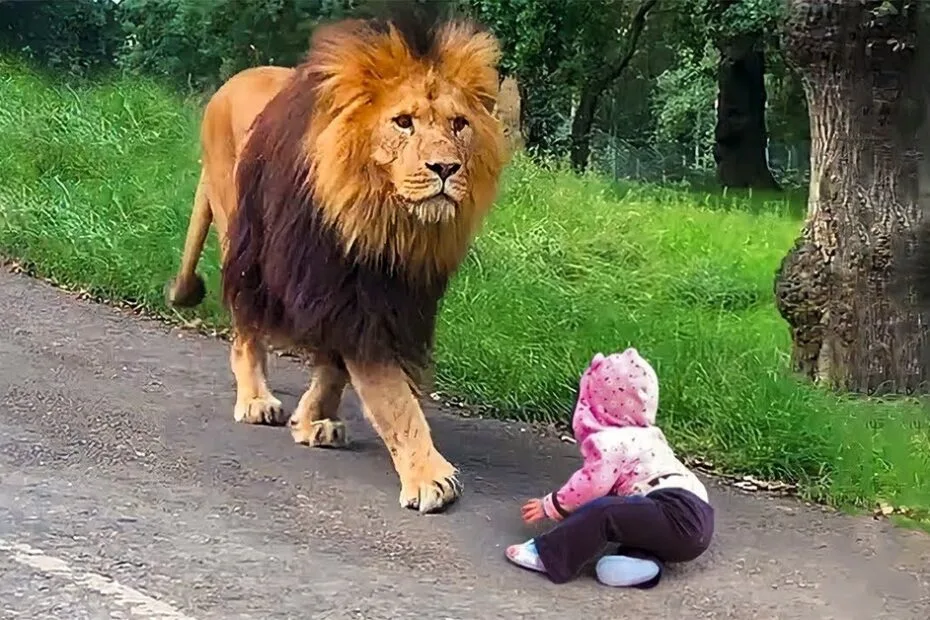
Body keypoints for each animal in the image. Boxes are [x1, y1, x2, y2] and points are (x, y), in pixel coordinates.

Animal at [164, 9, 508, 514]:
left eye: (459, 124)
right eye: (403, 122)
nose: (446, 168)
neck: (386, 223)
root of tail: (231, 83)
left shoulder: (387, 295)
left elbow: (338, 367)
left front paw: (314, 420)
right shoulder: (332, 283)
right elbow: (390, 394)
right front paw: (429, 475)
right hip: (241, 234)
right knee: (246, 324)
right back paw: (256, 398)